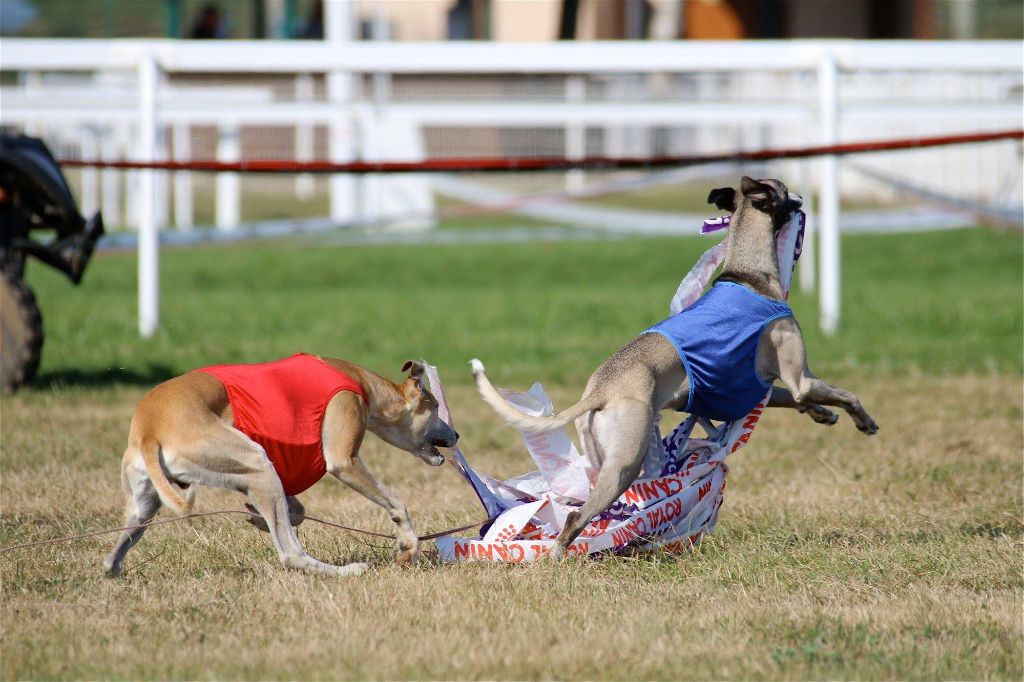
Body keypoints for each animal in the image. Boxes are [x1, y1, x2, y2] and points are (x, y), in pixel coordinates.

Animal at [103, 356, 456, 573]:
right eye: (436, 407)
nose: (456, 435)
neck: (361, 382)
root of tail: (150, 428)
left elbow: (294, 510)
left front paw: (258, 516)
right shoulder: (345, 448)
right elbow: (394, 502)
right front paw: (408, 546)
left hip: (146, 500)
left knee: (116, 549)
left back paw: (112, 568)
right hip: (254, 461)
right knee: (291, 554)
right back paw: (347, 571)